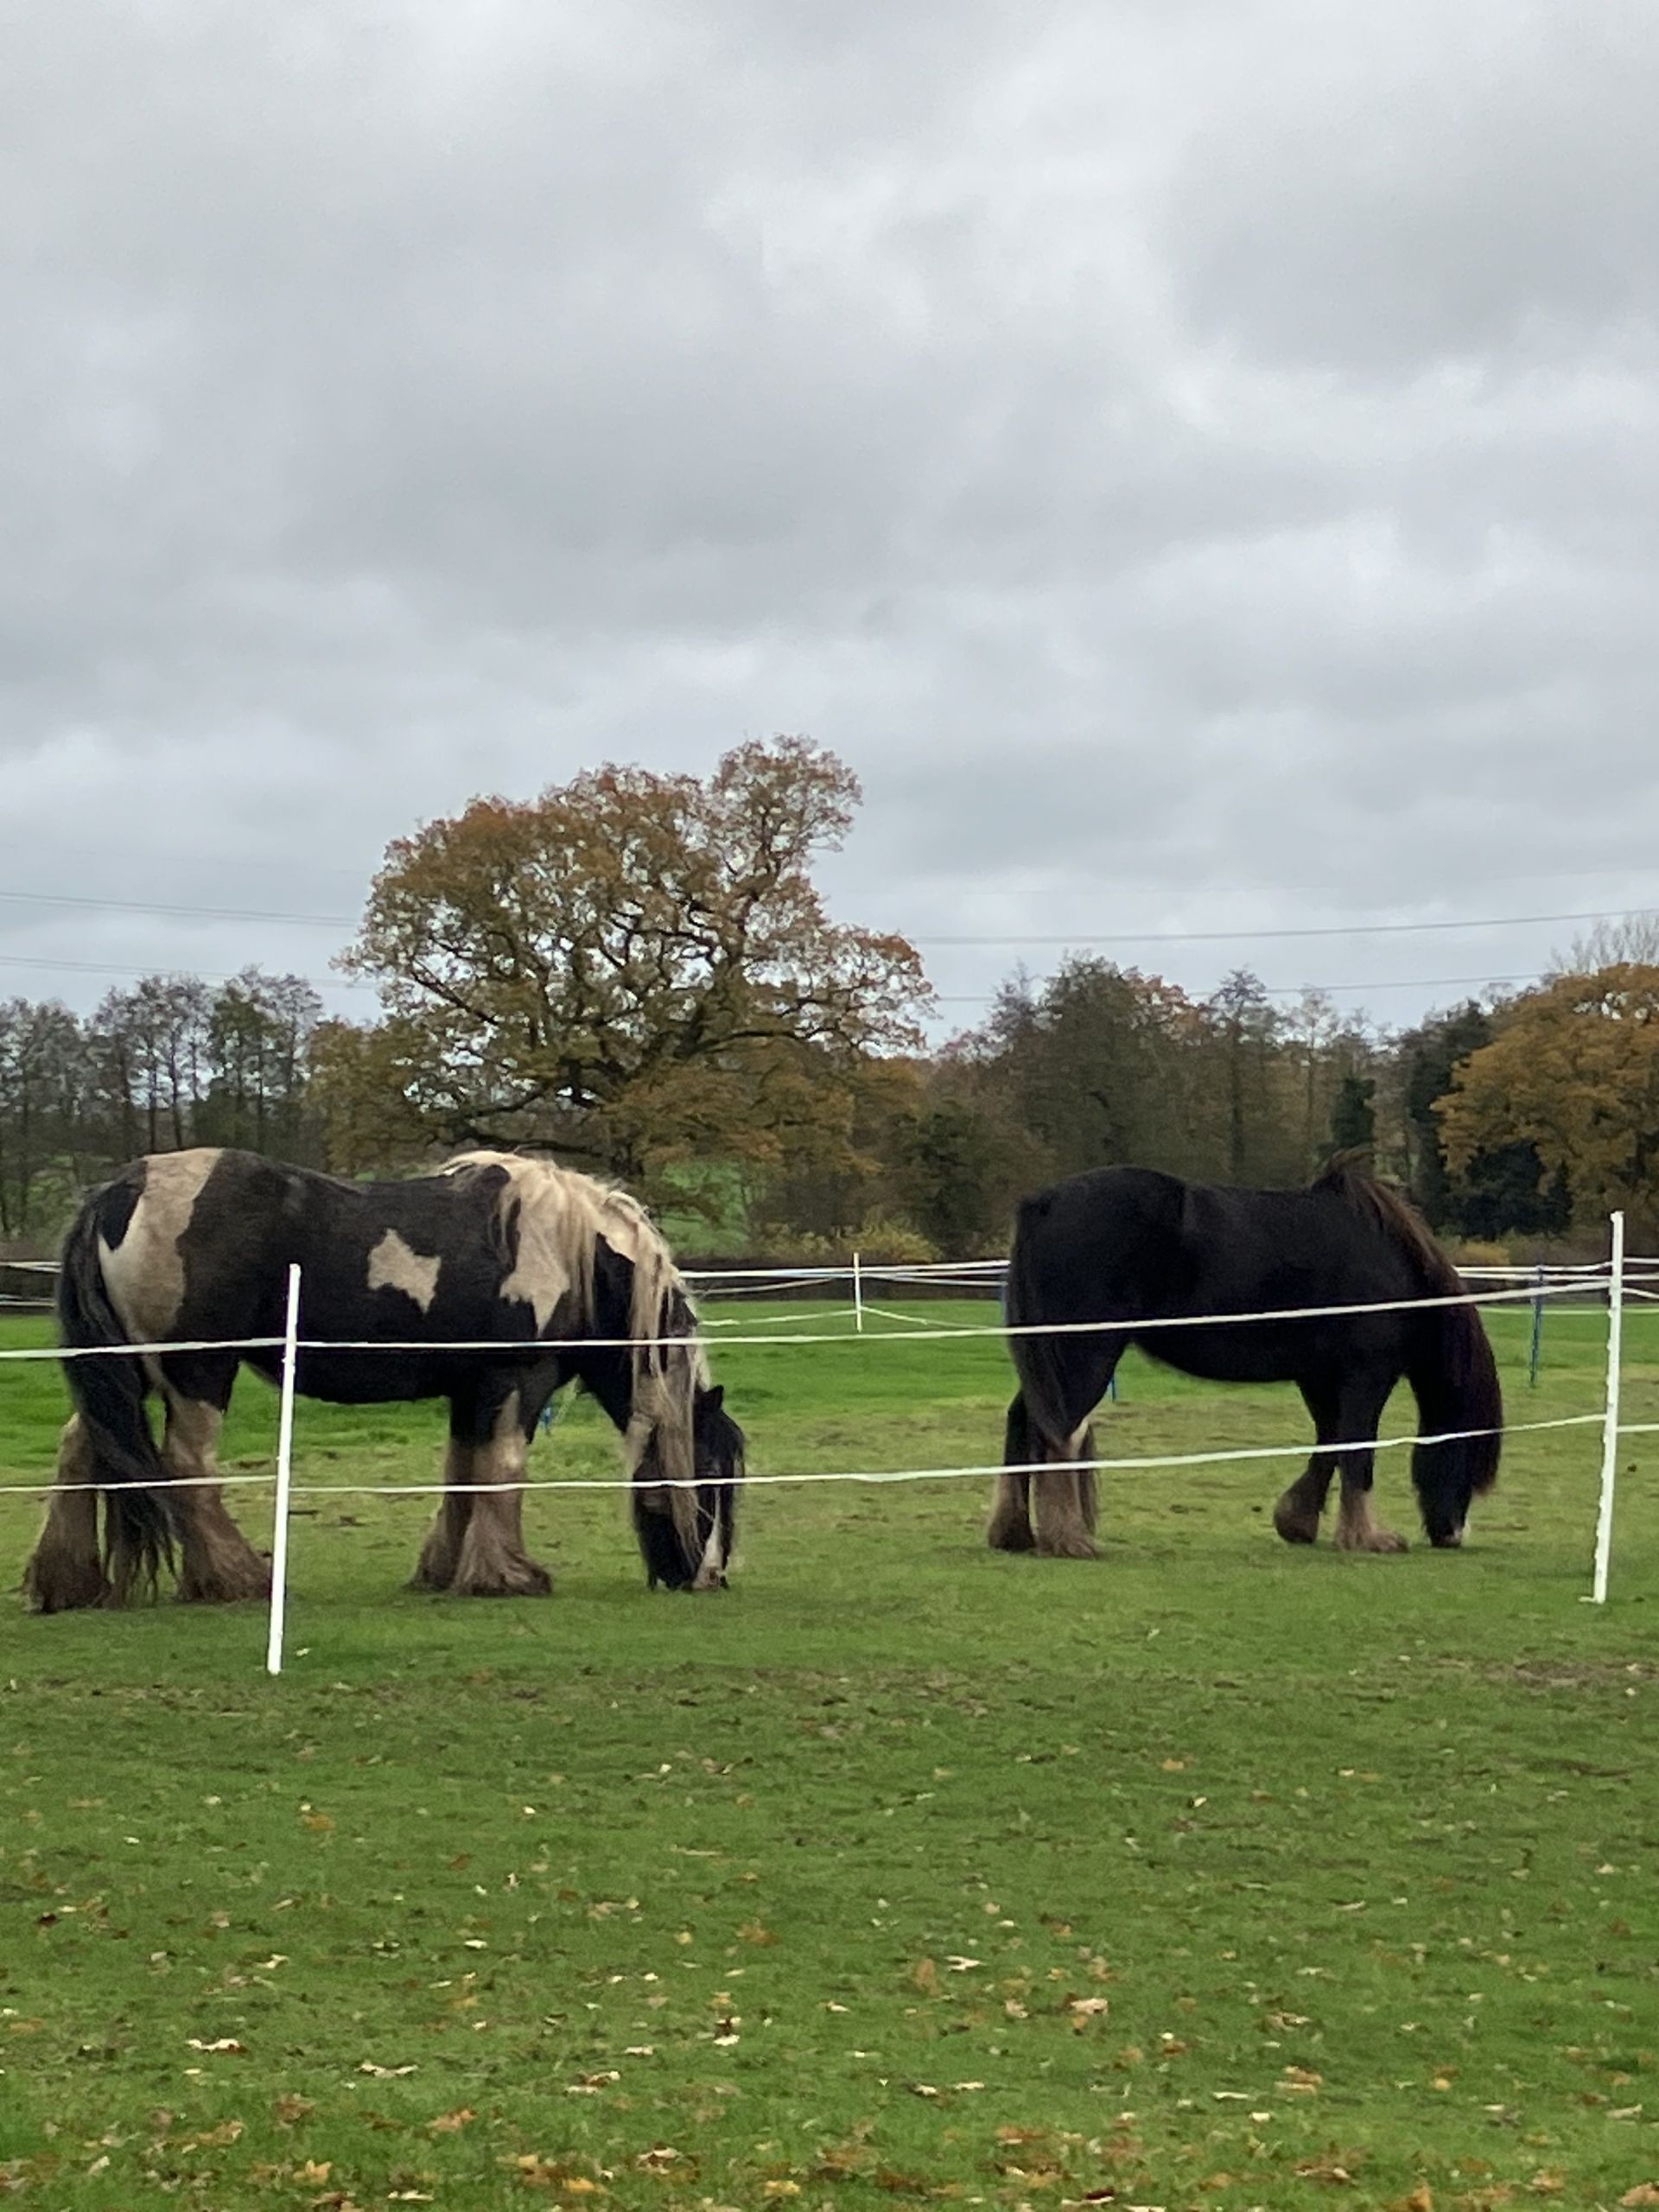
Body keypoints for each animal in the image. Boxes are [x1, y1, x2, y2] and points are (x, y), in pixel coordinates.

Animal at [21, 1147, 744, 1613]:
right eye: (711, 1472)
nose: (711, 1576)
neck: (573, 1254)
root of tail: (121, 1191)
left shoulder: (471, 1390)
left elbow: (463, 1476)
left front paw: (446, 1571)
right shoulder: (517, 1378)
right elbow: (504, 1471)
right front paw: (509, 1574)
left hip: (127, 1372)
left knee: (82, 1447)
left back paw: (68, 1584)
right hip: (196, 1371)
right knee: (187, 1466)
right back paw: (239, 1580)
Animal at [987, 1155, 1502, 1559]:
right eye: (1469, 1455)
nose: (1453, 1534)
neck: (1392, 1264)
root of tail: (1042, 1203)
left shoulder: (1319, 1377)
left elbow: (1330, 1442)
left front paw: (1297, 1522)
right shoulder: (1365, 1377)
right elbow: (1356, 1450)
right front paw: (1368, 1537)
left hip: (1051, 1361)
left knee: (1025, 1421)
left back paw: (1015, 1534)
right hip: (1083, 1355)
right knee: (1060, 1433)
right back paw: (1070, 1540)